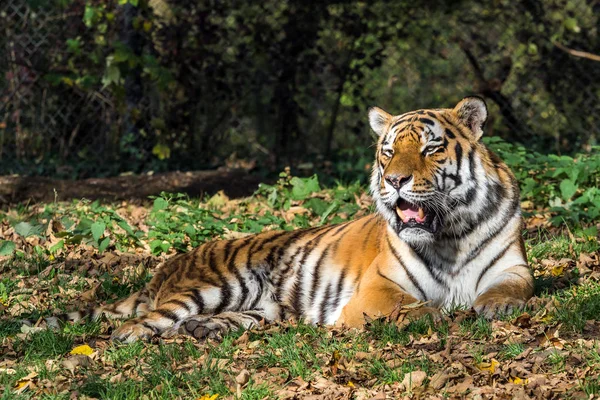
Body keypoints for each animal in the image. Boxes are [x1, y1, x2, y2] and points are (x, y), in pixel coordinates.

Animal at [47, 97, 536, 344]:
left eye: (431, 148)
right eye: (388, 150)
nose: (394, 180)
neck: (450, 234)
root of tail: (172, 264)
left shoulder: (514, 267)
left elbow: (512, 289)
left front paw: (493, 306)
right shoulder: (378, 290)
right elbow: (418, 308)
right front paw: (443, 313)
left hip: (264, 306)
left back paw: (208, 328)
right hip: (214, 286)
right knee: (141, 321)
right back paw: (133, 336)